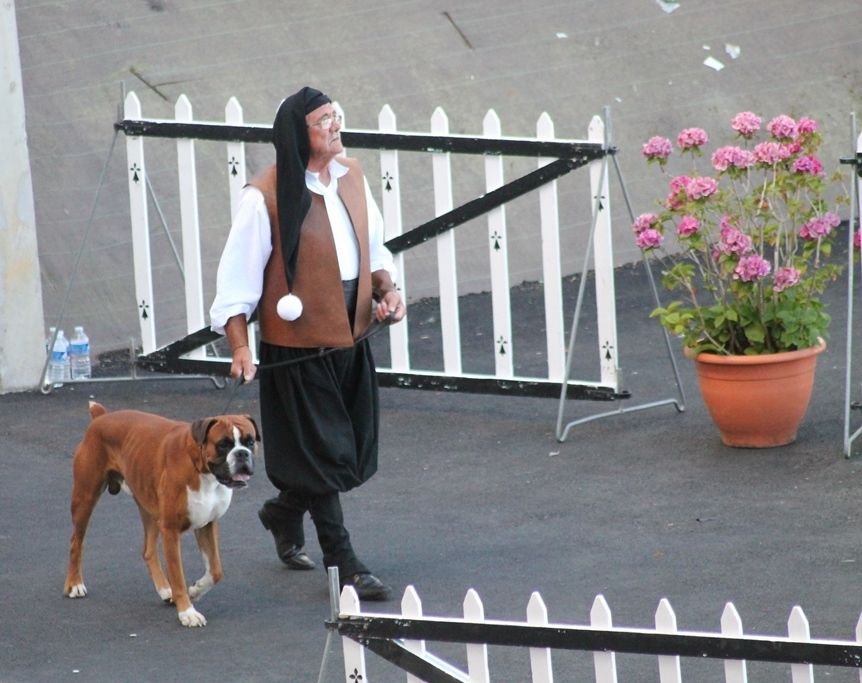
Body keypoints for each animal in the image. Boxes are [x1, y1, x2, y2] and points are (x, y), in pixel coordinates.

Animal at [62, 404, 258, 628]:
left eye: (250, 441)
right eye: (223, 445)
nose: (242, 454)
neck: (200, 466)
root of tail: (100, 417)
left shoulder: (207, 524)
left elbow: (216, 571)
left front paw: (195, 590)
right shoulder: (171, 530)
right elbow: (178, 575)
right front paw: (187, 612)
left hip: (149, 509)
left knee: (148, 550)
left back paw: (165, 589)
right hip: (85, 498)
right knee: (76, 541)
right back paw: (74, 584)